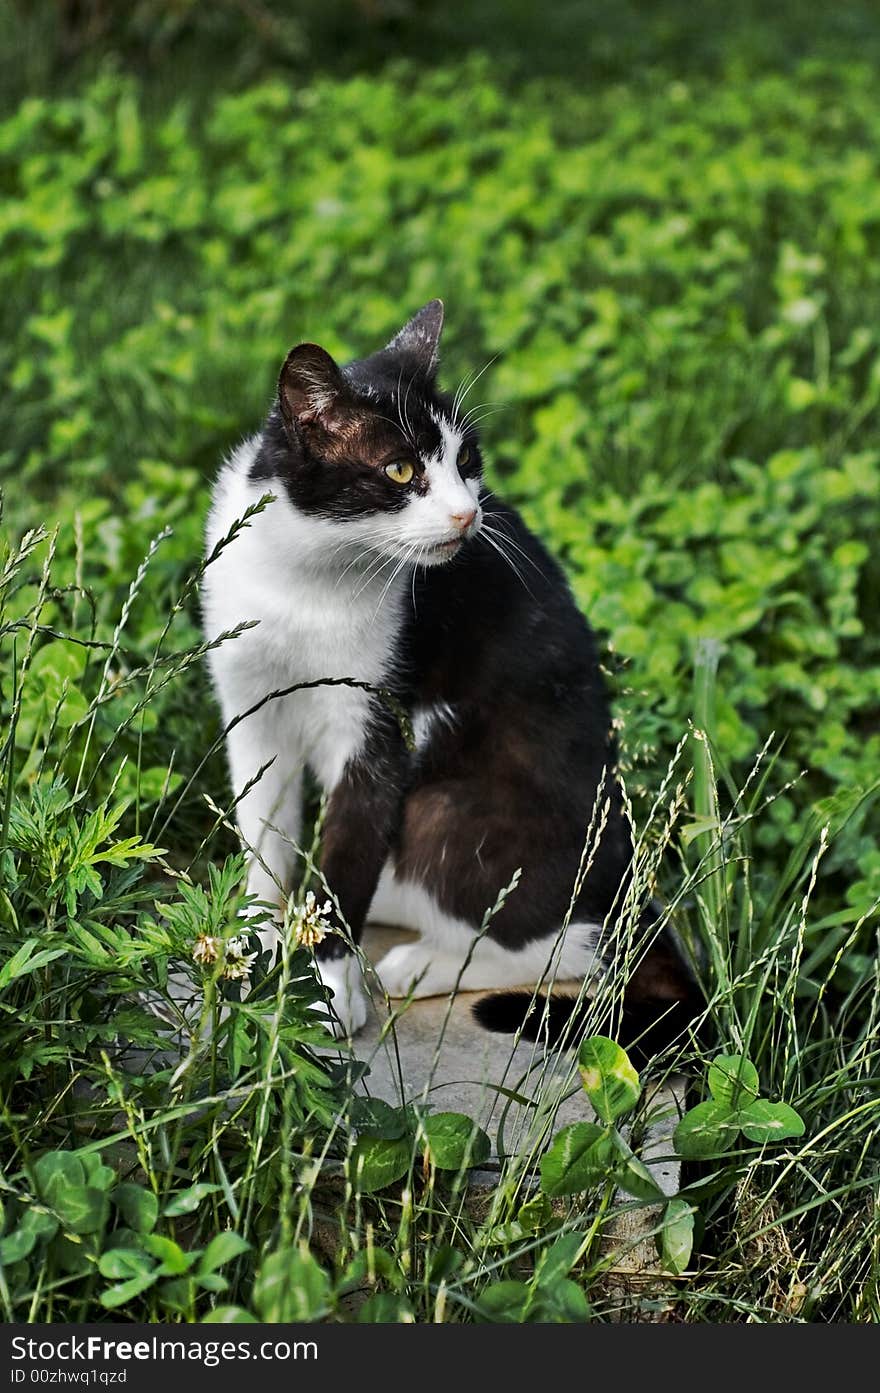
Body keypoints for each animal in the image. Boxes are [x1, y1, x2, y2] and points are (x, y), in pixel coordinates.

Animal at [203, 296, 698, 1053]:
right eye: (401, 471)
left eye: (467, 460)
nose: (468, 512)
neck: (308, 578)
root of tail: (633, 890)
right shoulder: (250, 704)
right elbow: (263, 834)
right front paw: (255, 941)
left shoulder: (376, 719)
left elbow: (346, 859)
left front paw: (328, 991)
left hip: (452, 812)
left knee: (578, 943)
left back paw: (421, 964)